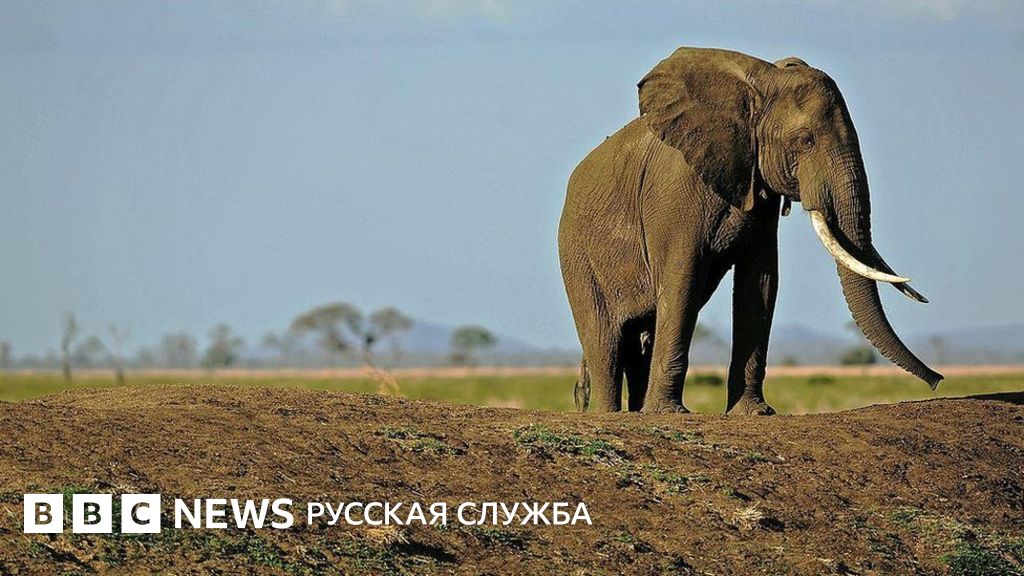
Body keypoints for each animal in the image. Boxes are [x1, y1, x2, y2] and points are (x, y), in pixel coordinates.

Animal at [558, 47, 942, 415]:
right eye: (805, 141)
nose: (937, 380)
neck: (759, 84)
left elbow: (760, 282)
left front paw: (755, 413)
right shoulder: (675, 193)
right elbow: (683, 280)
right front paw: (669, 413)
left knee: (640, 337)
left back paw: (637, 411)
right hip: (576, 253)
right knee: (605, 339)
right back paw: (612, 413)